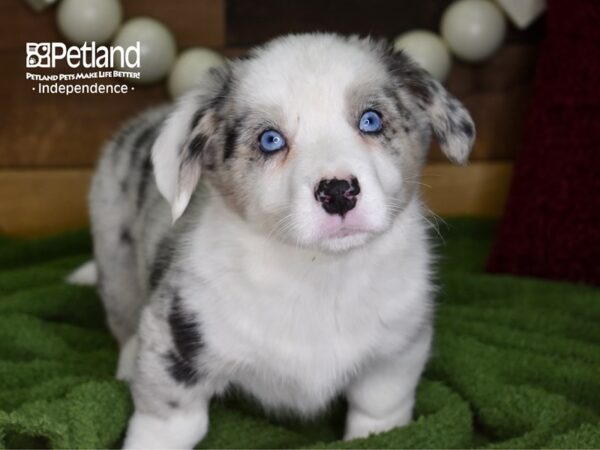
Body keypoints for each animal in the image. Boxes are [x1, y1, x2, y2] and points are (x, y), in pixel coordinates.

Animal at [85, 33, 474, 448]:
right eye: (270, 140)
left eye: (371, 120)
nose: (338, 192)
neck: (320, 273)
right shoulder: (176, 338)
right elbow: (167, 423)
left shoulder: (396, 351)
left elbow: (380, 410)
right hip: (115, 257)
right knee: (125, 322)